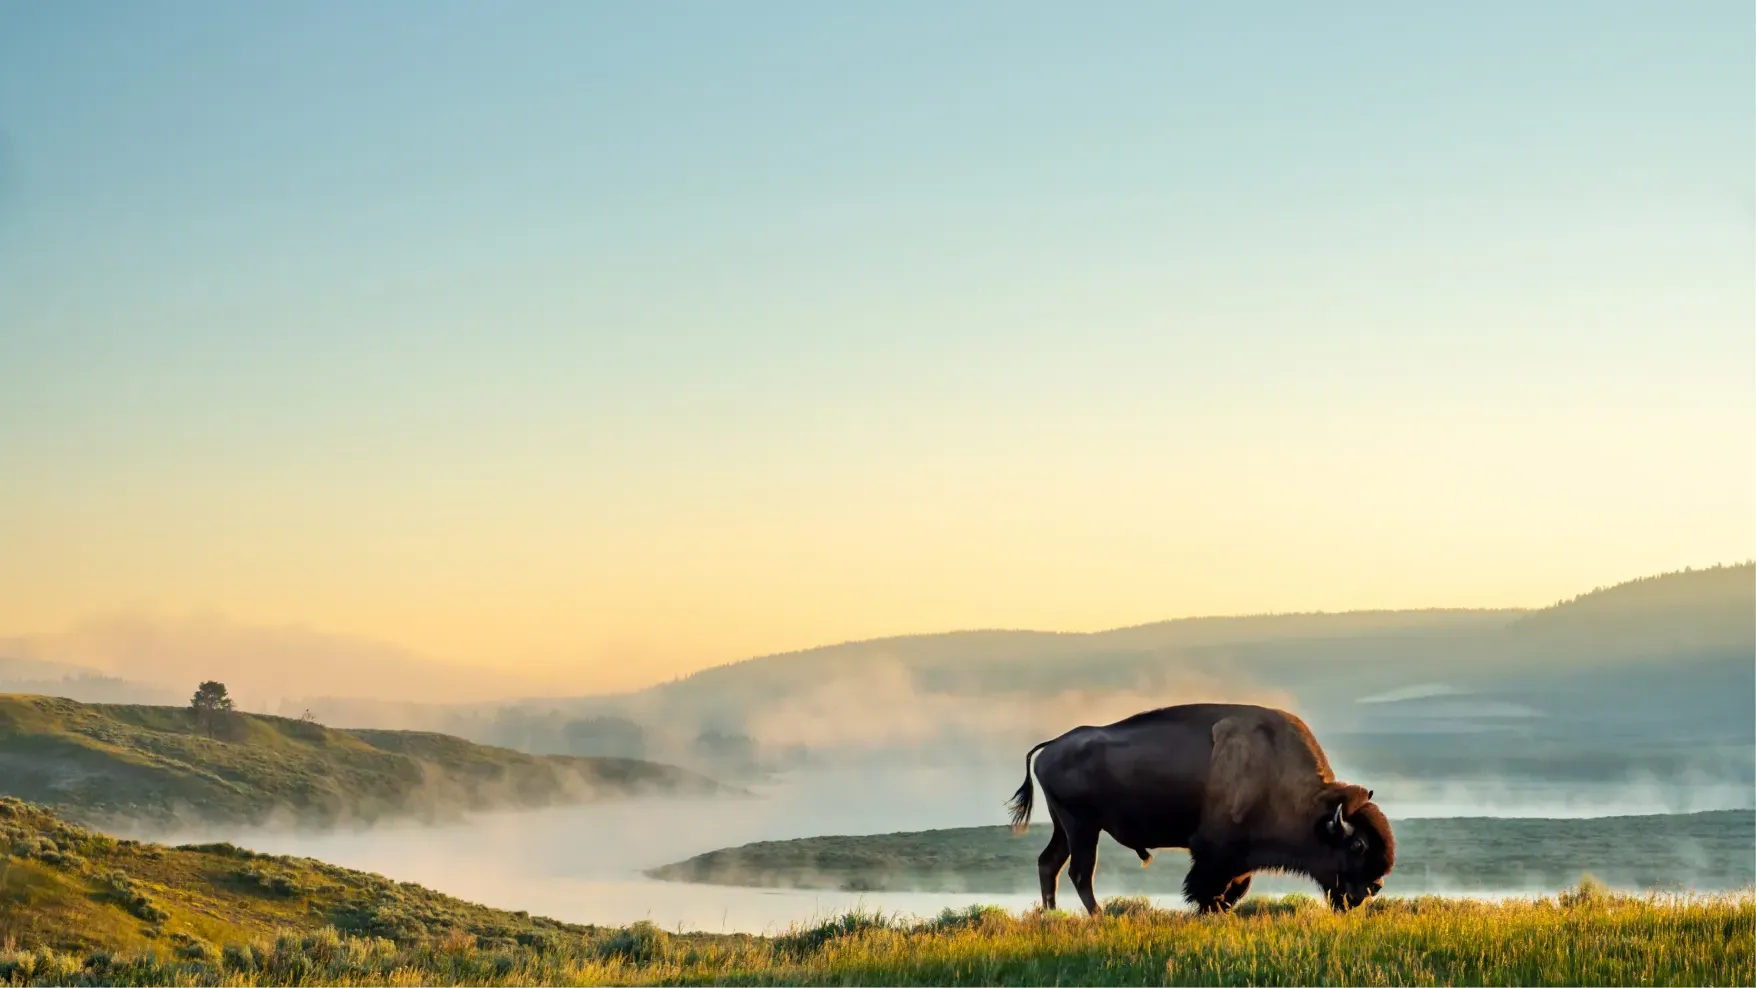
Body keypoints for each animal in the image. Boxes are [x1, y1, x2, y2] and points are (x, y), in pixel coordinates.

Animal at [1006, 702, 1394, 915]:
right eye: (1357, 844)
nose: (1372, 889)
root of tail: (1051, 746)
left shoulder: (1240, 858)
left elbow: (1237, 887)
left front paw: (1219, 908)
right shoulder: (1214, 853)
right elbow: (1209, 886)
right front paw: (1210, 909)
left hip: (1065, 826)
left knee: (1050, 864)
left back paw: (1052, 915)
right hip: (1083, 826)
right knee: (1079, 872)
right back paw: (1098, 917)